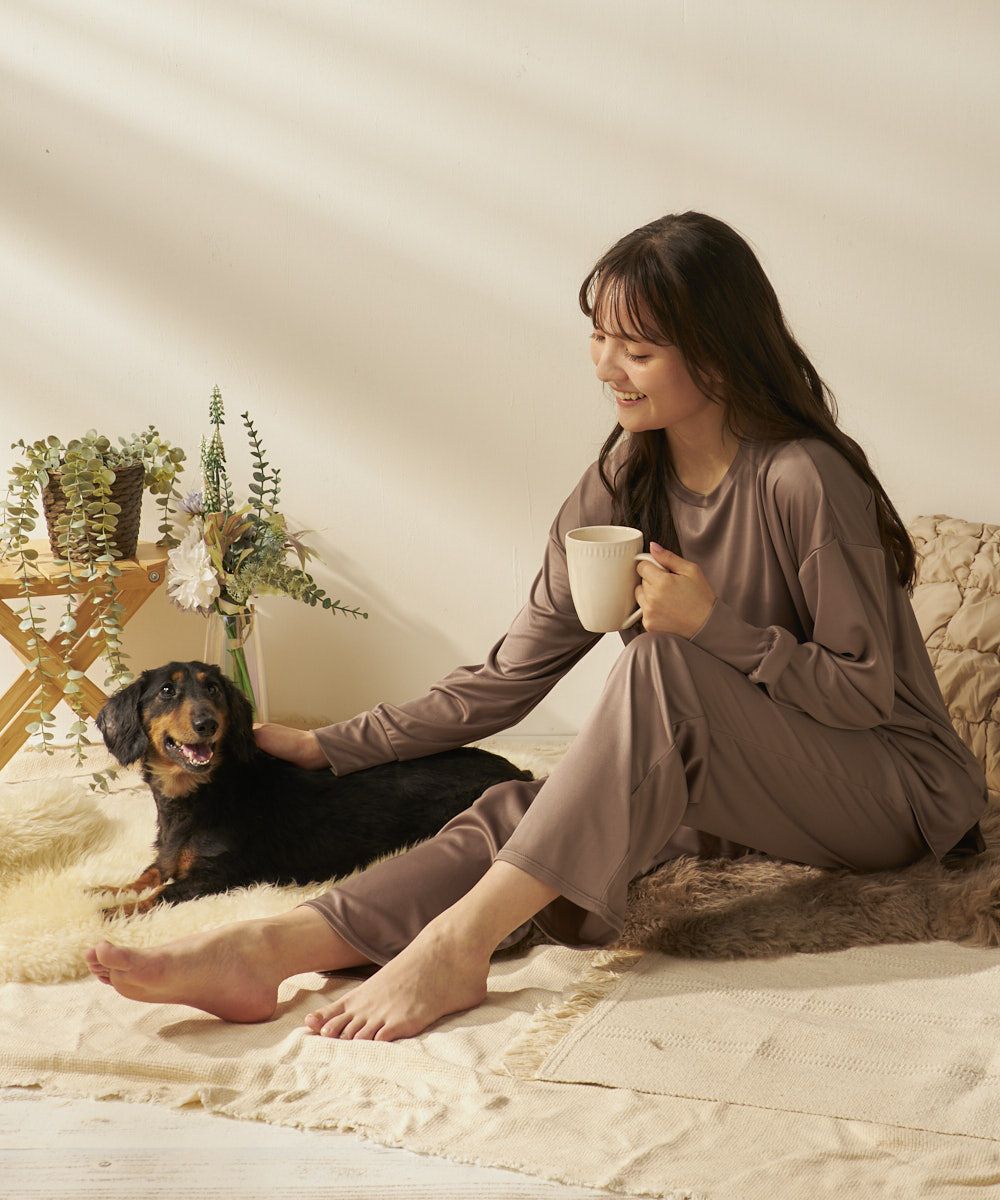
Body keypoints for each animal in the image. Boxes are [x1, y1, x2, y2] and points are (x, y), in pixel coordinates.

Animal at [92, 660, 534, 912]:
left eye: (213, 688)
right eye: (167, 690)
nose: (207, 724)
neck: (200, 792)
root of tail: (522, 772)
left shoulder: (222, 874)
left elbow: (160, 896)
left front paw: (109, 916)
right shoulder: (168, 860)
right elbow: (148, 875)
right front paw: (105, 890)